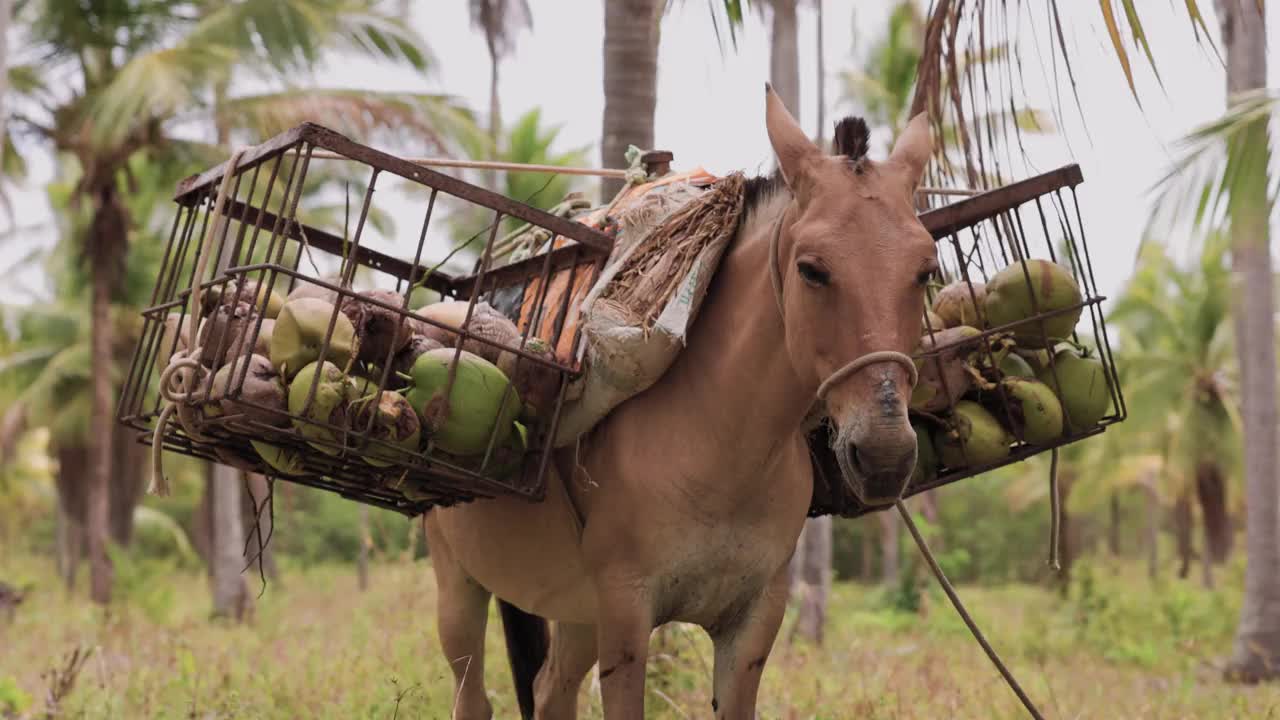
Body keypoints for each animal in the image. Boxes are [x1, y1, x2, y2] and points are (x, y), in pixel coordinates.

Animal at [424, 85, 936, 717]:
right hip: (460, 587)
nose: (886, 454)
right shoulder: (625, 614)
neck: (722, 447)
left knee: (549, 691)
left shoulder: (753, 621)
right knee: (473, 695)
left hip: (576, 611)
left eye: (926, 270)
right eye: (812, 270)